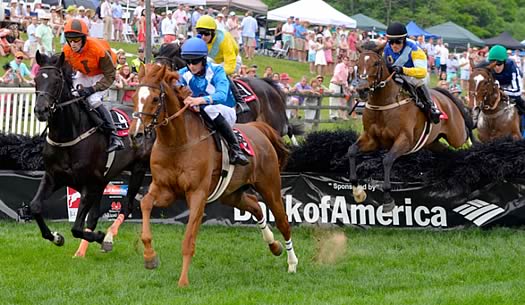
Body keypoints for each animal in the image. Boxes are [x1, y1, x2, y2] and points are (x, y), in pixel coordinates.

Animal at [29, 51, 154, 255]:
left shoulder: (89, 184)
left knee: (126, 207)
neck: (68, 135)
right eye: (36, 79)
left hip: (138, 169)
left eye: (56, 80)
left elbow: (76, 228)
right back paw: (81, 252)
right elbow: (35, 207)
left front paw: (102, 238)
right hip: (103, 180)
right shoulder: (54, 177)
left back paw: (108, 237)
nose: (41, 110)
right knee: (95, 216)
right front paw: (56, 237)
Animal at [129, 63, 296, 284]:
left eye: (155, 99)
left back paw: (292, 264)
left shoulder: (197, 194)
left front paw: (183, 281)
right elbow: (145, 204)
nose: (136, 134)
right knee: (255, 206)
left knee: (283, 221)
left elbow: (189, 240)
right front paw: (150, 257)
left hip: (270, 187)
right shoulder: (164, 189)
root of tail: (259, 129)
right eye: (134, 96)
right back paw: (274, 246)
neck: (178, 143)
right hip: (231, 194)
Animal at [348, 42, 474, 211]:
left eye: (376, 63)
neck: (384, 103)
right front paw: (358, 192)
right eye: (357, 64)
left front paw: (387, 200)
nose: (362, 90)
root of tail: (445, 95)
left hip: (456, 135)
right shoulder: (371, 139)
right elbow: (352, 151)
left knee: (465, 134)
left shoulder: (405, 140)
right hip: (431, 142)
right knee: (446, 150)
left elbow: (387, 160)